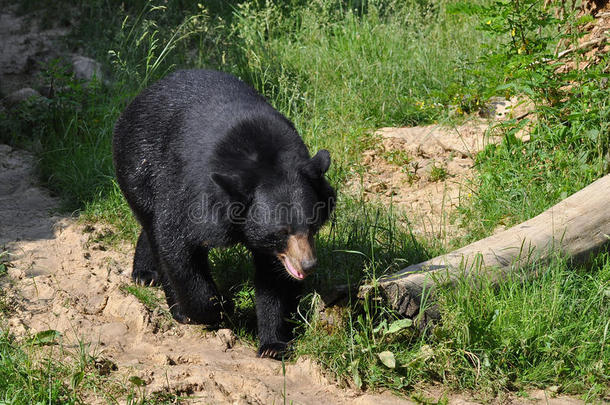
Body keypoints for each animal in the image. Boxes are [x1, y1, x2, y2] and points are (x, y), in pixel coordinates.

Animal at [111, 68, 334, 356]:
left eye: (313, 226)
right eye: (281, 231)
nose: (308, 265)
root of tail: (141, 95)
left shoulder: (275, 249)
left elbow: (275, 280)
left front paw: (274, 345)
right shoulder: (194, 193)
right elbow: (177, 244)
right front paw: (219, 308)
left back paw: (145, 274)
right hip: (138, 163)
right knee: (153, 222)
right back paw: (156, 286)